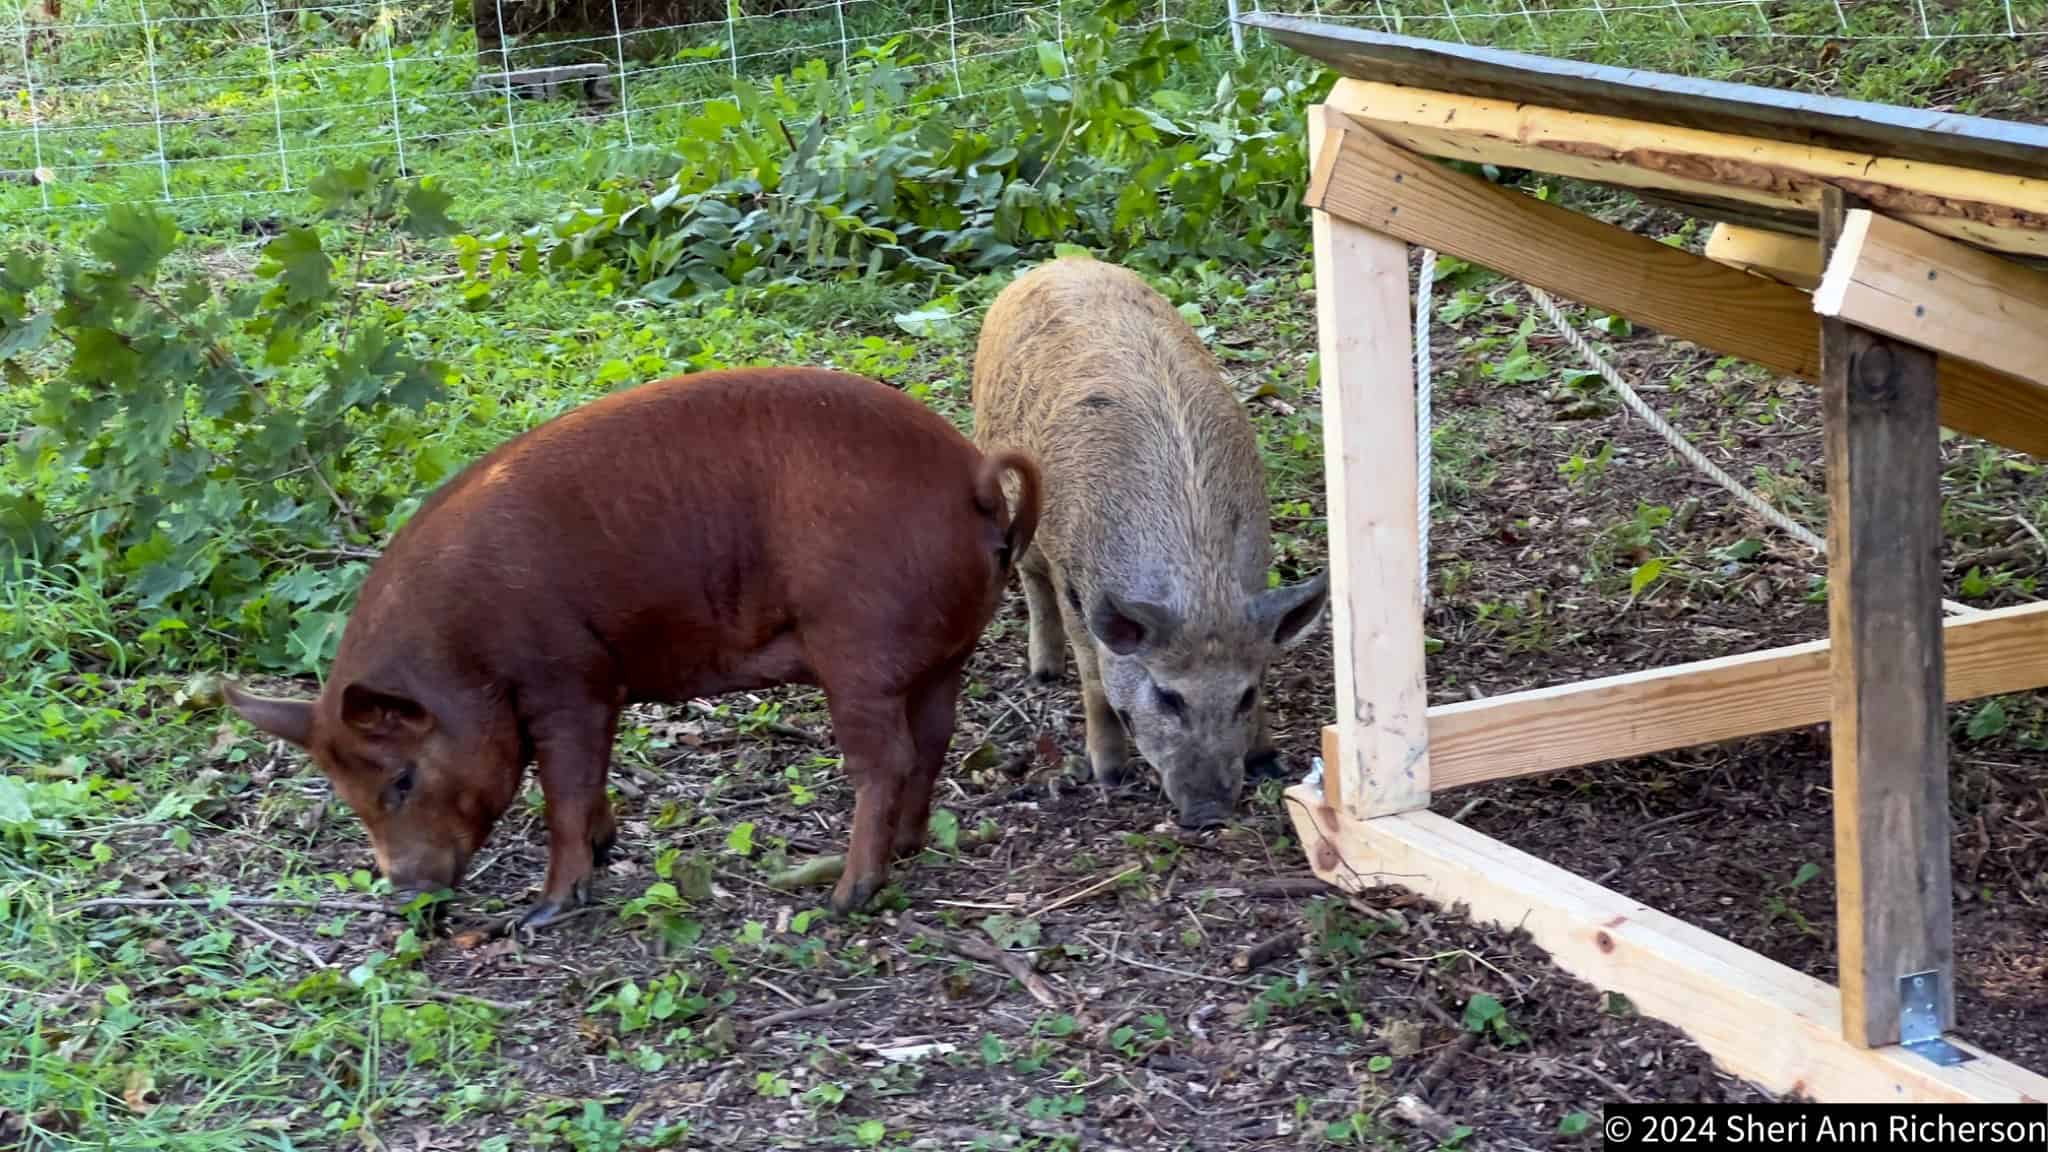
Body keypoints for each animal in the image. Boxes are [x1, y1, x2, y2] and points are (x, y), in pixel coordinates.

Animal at [221, 366, 1039, 925]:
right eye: (342, 791)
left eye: (400, 779)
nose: (408, 893)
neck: (463, 651)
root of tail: (971, 473)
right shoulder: (599, 688)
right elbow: (588, 780)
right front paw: (607, 848)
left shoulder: (567, 678)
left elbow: (562, 791)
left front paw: (543, 912)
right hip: (945, 655)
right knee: (933, 739)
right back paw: (904, 849)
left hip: (857, 651)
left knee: (885, 759)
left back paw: (845, 895)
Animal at [969, 256, 1328, 829]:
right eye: (1166, 695)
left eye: (1245, 695)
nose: (1208, 812)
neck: (1200, 583)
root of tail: (1055, 263)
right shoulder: (1077, 584)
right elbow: (1095, 678)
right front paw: (1108, 776)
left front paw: (1269, 763)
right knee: (1030, 577)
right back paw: (1043, 675)